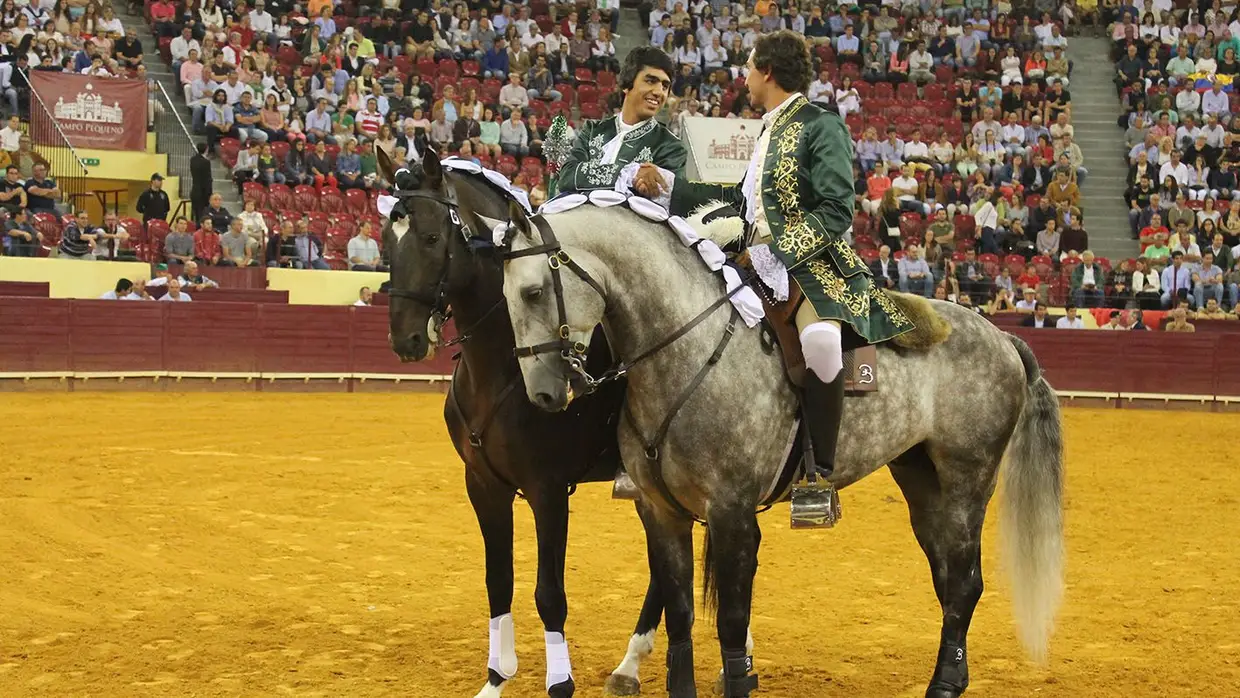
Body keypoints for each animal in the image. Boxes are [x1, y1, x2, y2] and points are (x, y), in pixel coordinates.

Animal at [381, 154, 679, 698]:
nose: (406, 339)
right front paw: (496, 679)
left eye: (432, 237)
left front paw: (559, 682)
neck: (500, 366)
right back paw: (631, 664)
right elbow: (498, 581)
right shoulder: (483, 484)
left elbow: (549, 592)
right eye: (386, 240)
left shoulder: (548, 489)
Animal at [498, 203, 1061, 698]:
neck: (688, 348)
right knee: (948, 579)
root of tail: (1001, 336)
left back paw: (944, 683)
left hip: (968, 482)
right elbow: (680, 614)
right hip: (923, 485)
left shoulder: (731, 512)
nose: (542, 393)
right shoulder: (660, 512)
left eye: (533, 291)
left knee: (965, 582)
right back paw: (954, 674)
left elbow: (730, 622)